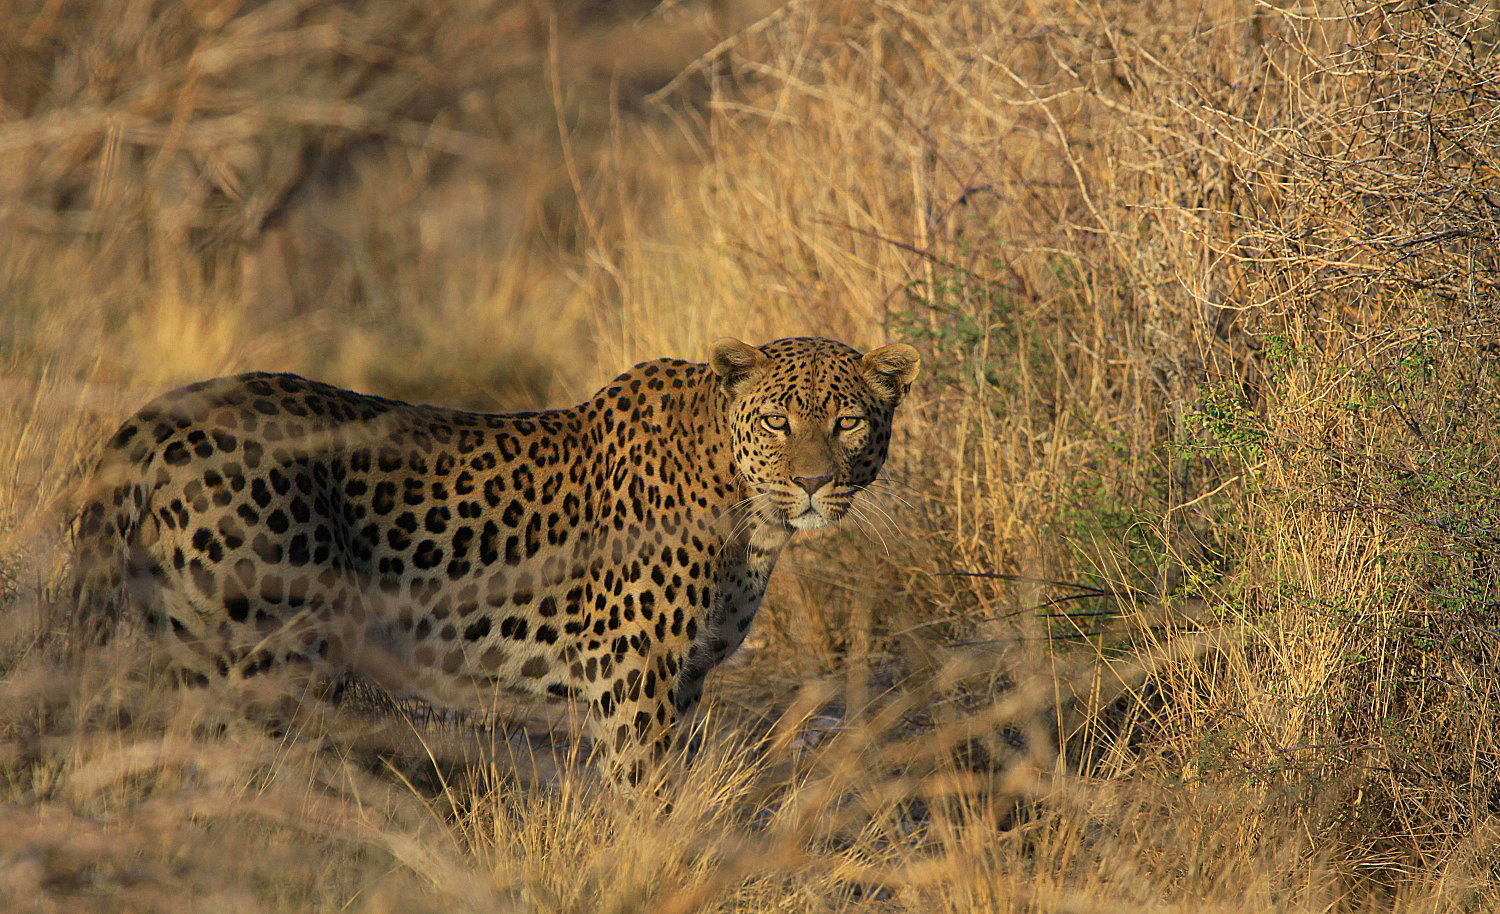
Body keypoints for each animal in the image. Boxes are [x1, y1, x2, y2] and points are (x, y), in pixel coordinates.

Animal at [73, 336, 924, 774]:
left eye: (848, 422)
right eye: (779, 421)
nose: (813, 483)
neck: (750, 515)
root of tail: (171, 409)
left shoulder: (684, 681)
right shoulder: (633, 677)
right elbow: (646, 793)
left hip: (187, 643)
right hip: (267, 649)